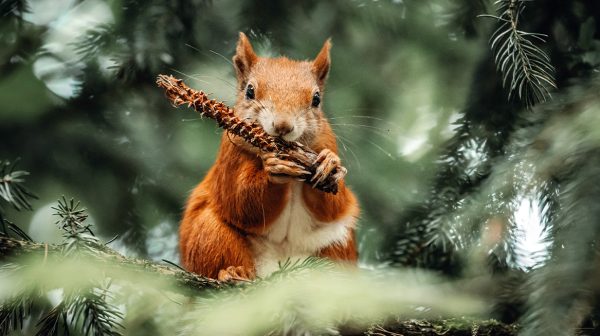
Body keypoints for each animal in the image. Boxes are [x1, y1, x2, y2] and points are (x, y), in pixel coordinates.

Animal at [177, 33, 356, 280]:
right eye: (250, 91)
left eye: (316, 99)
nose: (282, 125)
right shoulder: (231, 156)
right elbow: (242, 200)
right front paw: (275, 170)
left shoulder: (328, 142)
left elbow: (333, 206)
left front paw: (329, 164)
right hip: (209, 233)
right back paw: (234, 272)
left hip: (339, 244)